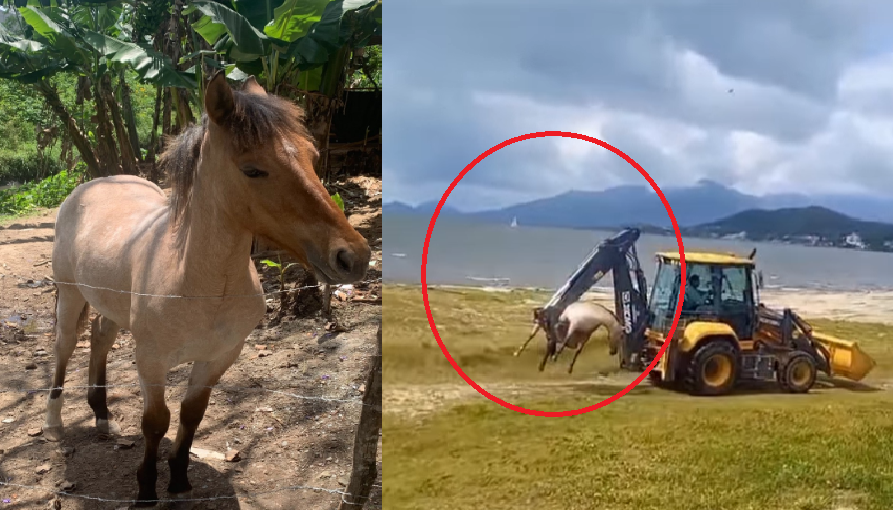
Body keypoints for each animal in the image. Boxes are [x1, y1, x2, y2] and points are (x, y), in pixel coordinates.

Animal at [43, 72, 371, 507]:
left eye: (312, 157)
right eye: (253, 170)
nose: (353, 256)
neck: (203, 285)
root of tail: (93, 185)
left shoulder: (219, 357)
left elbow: (191, 415)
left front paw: (180, 479)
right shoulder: (151, 360)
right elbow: (156, 422)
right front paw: (146, 489)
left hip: (109, 305)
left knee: (99, 338)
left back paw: (101, 416)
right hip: (70, 296)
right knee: (64, 347)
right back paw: (54, 424)